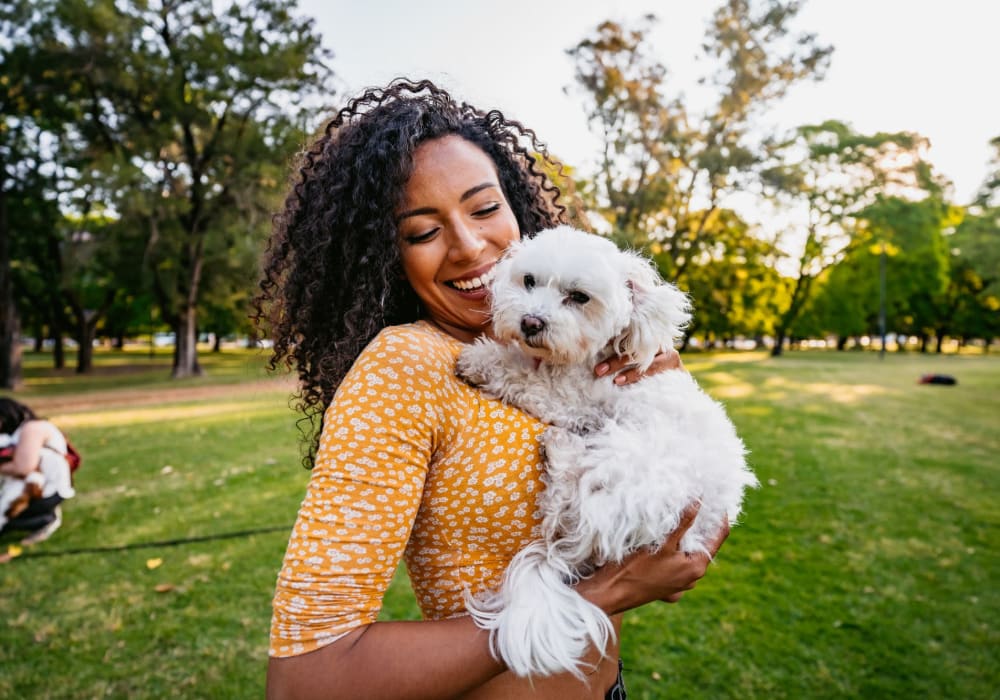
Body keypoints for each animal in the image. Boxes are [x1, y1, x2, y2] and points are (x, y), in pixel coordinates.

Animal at [458, 228, 752, 680]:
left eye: (579, 297)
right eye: (529, 281)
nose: (530, 322)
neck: (585, 360)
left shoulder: (572, 399)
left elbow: (524, 378)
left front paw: (482, 359)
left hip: (630, 463)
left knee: (567, 505)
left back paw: (561, 451)